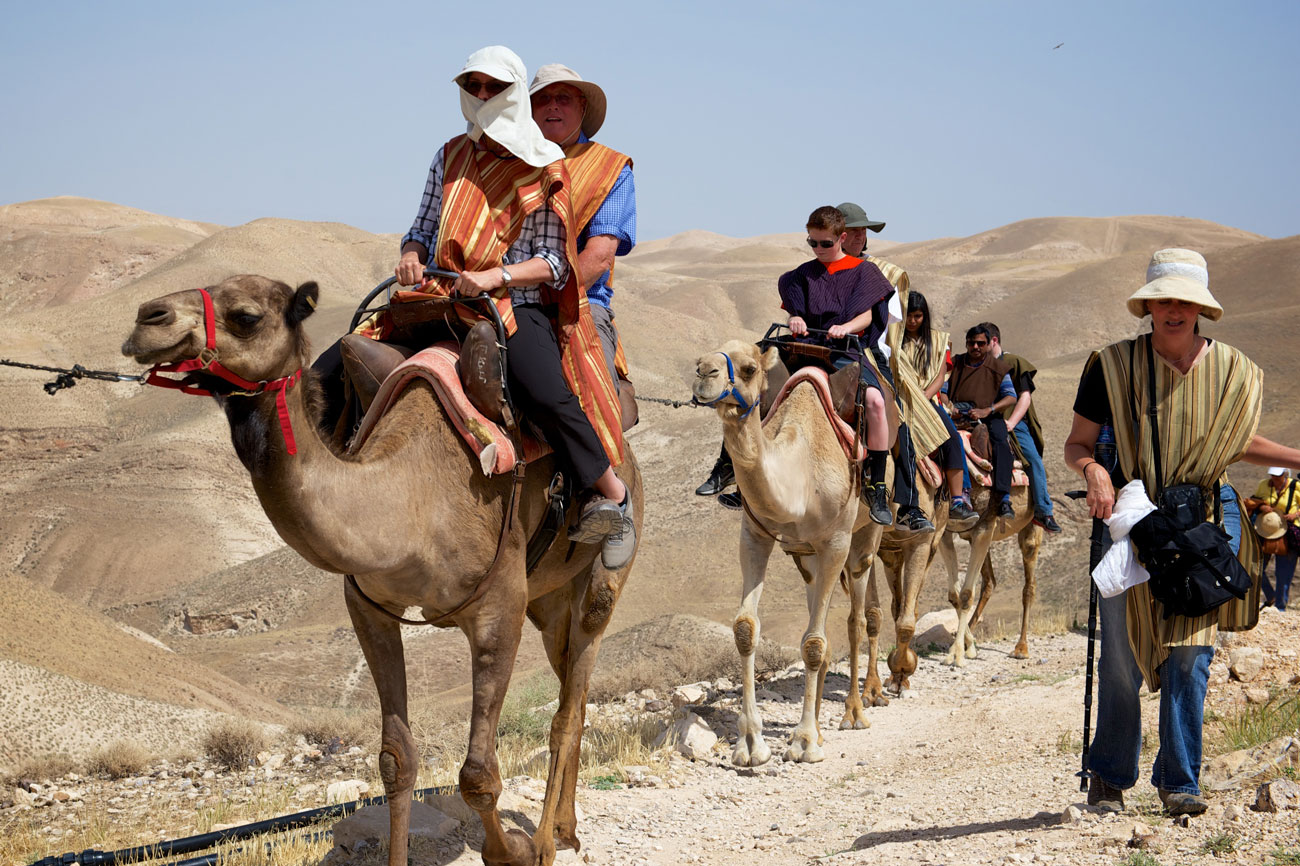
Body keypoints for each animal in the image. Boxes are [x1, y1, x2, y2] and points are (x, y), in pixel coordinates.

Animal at [121, 276, 642, 866]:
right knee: (570, 681)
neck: (412, 492)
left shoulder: (499, 608)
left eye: (246, 316)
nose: (147, 318)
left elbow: (477, 774)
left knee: (568, 705)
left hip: (601, 576)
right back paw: (567, 826)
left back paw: (552, 838)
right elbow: (396, 761)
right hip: (549, 601)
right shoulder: (371, 609)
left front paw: (515, 850)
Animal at [691, 341, 884, 766]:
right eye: (700, 360)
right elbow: (746, 627)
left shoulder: (836, 542)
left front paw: (805, 742)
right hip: (807, 556)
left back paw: (855, 711)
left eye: (748, 368)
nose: (703, 374)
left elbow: (813, 643)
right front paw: (751, 744)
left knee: (857, 617)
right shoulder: (755, 534)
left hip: (864, 537)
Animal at [937, 479, 1042, 666]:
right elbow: (954, 595)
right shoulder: (947, 531)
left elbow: (965, 594)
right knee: (989, 582)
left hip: (1030, 528)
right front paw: (965, 647)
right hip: (975, 539)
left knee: (1029, 586)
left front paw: (957, 654)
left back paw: (1021, 649)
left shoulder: (985, 525)